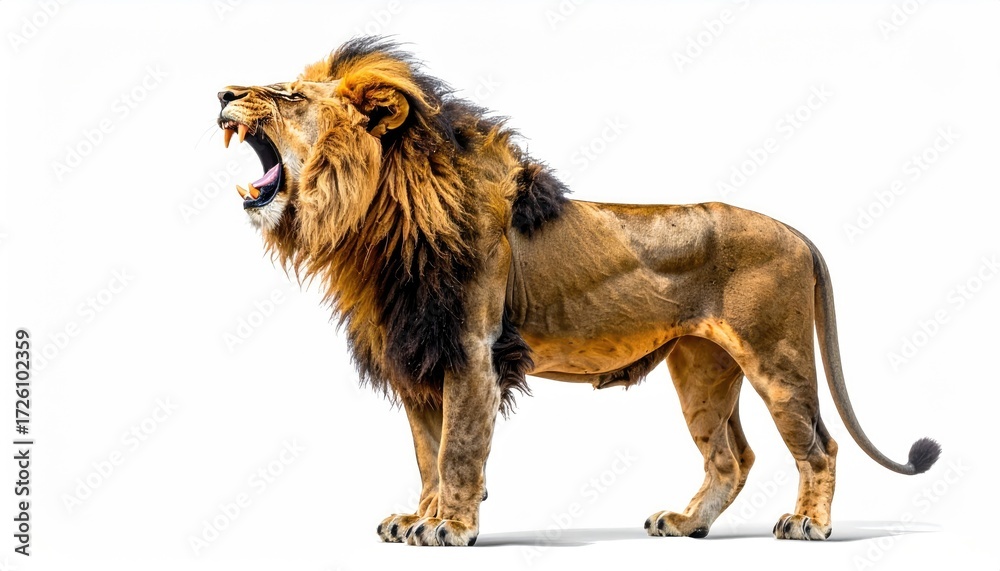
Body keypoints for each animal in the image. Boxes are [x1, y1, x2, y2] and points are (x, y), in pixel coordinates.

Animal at [216, 37, 940, 545]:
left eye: (286, 95)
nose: (221, 92)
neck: (379, 221)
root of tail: (798, 232)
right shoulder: (421, 356)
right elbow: (427, 452)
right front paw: (416, 518)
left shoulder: (472, 352)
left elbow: (456, 451)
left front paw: (450, 526)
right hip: (702, 369)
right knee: (732, 458)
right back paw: (686, 523)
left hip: (777, 356)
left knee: (818, 445)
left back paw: (808, 524)